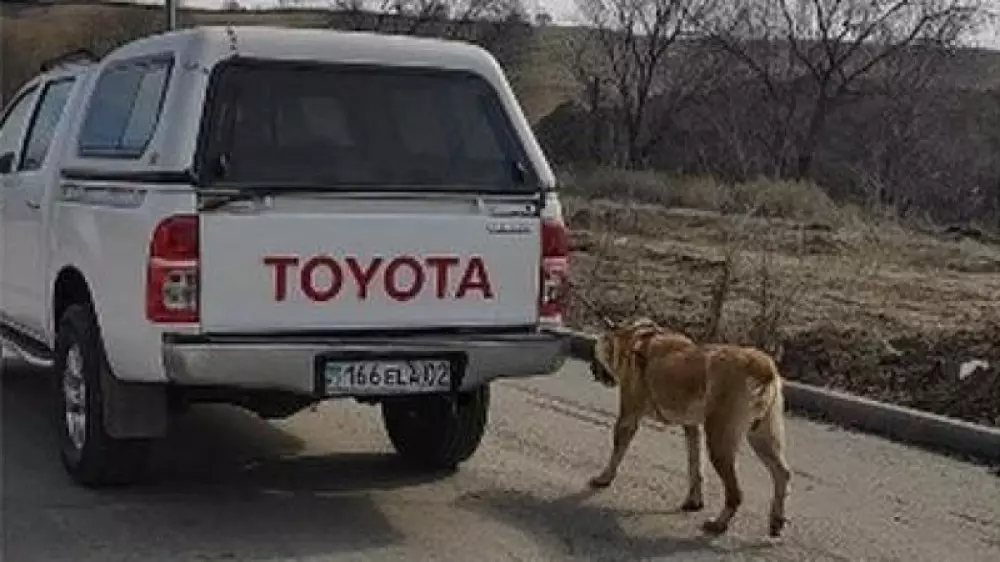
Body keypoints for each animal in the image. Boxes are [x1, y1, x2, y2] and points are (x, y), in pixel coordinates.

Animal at [587, 317, 791, 538]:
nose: (591, 368)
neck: (633, 339)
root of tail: (763, 366)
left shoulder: (628, 418)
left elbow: (616, 452)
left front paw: (604, 478)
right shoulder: (691, 428)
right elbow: (695, 466)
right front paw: (694, 500)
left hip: (719, 443)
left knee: (735, 493)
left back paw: (719, 523)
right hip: (761, 438)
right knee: (782, 474)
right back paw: (776, 519)